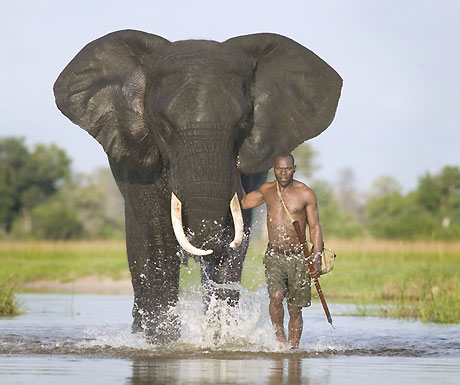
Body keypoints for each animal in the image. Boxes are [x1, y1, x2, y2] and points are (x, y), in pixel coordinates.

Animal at [54, 29, 342, 342]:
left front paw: (220, 341)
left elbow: (234, 238)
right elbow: (159, 240)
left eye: (243, 123)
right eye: (163, 126)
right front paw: (164, 342)